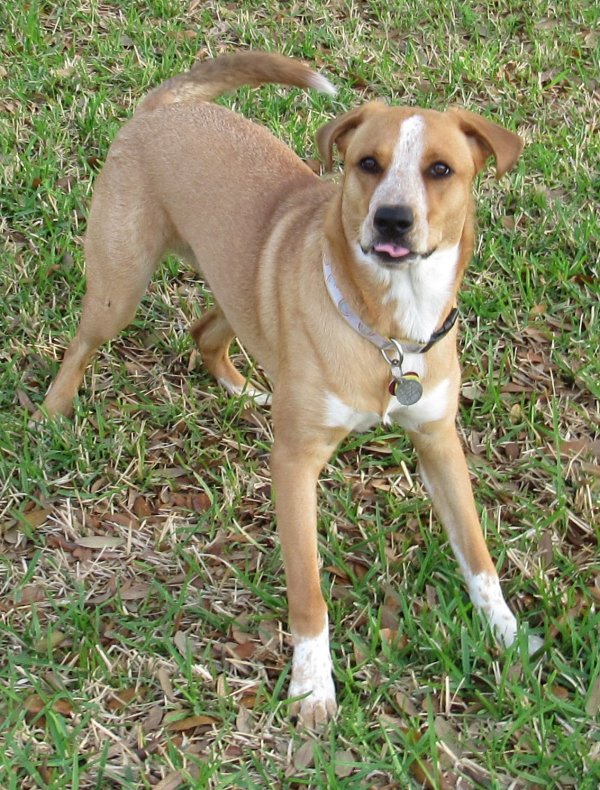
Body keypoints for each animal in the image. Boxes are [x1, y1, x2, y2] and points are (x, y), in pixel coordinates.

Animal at [39, 52, 540, 728]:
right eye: (368, 163)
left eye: (441, 169)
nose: (392, 219)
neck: (388, 330)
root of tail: (165, 109)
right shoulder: (296, 463)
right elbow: (308, 590)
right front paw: (312, 686)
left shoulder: (439, 444)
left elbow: (479, 557)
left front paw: (508, 634)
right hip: (120, 286)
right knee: (81, 348)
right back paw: (51, 414)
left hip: (238, 288)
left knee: (205, 331)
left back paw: (239, 389)